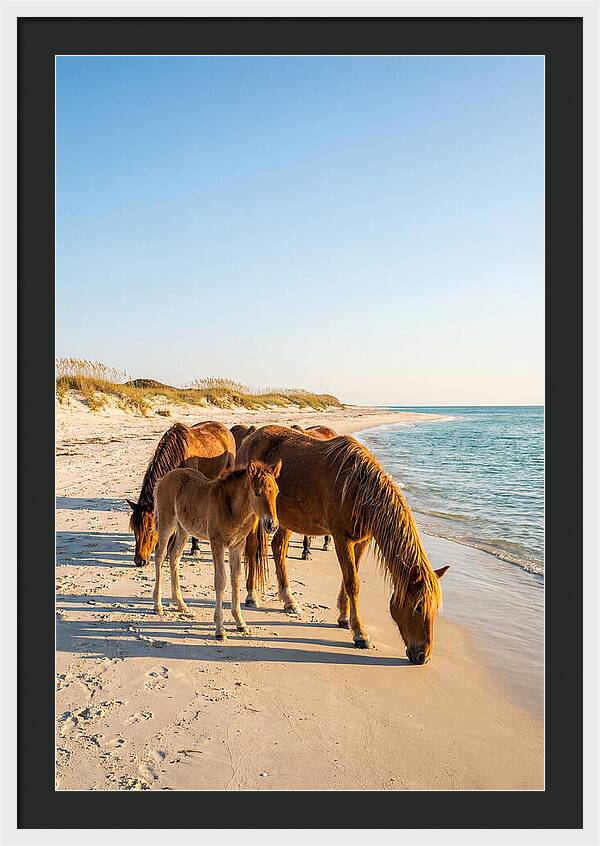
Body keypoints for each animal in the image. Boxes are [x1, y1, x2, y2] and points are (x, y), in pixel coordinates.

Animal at [127, 421, 236, 566]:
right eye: (134, 528)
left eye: (150, 528)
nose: (139, 561)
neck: (178, 455)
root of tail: (225, 429)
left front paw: (195, 548)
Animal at [152, 459, 282, 639]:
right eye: (257, 492)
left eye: (277, 492)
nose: (272, 525)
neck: (233, 509)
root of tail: (164, 478)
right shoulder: (217, 543)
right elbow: (221, 580)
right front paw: (220, 629)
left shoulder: (237, 546)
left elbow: (236, 579)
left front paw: (240, 623)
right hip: (166, 523)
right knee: (160, 555)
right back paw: (158, 606)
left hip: (183, 528)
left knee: (174, 556)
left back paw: (180, 603)